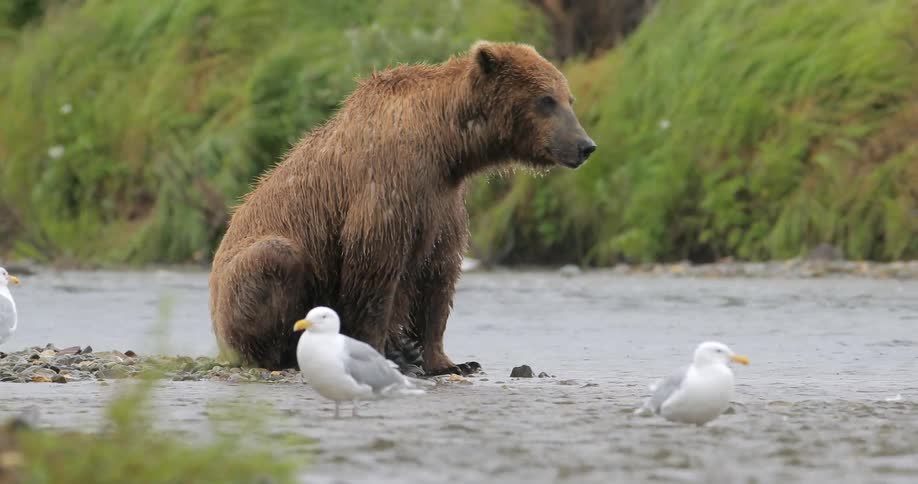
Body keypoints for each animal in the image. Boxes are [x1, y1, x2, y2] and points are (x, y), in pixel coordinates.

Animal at [208, 40, 596, 375]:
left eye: (569, 98)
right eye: (546, 100)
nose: (585, 145)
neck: (446, 146)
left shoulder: (442, 201)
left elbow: (439, 275)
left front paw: (449, 361)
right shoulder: (388, 187)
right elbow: (376, 268)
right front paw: (381, 351)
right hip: (244, 280)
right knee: (276, 259)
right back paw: (281, 353)